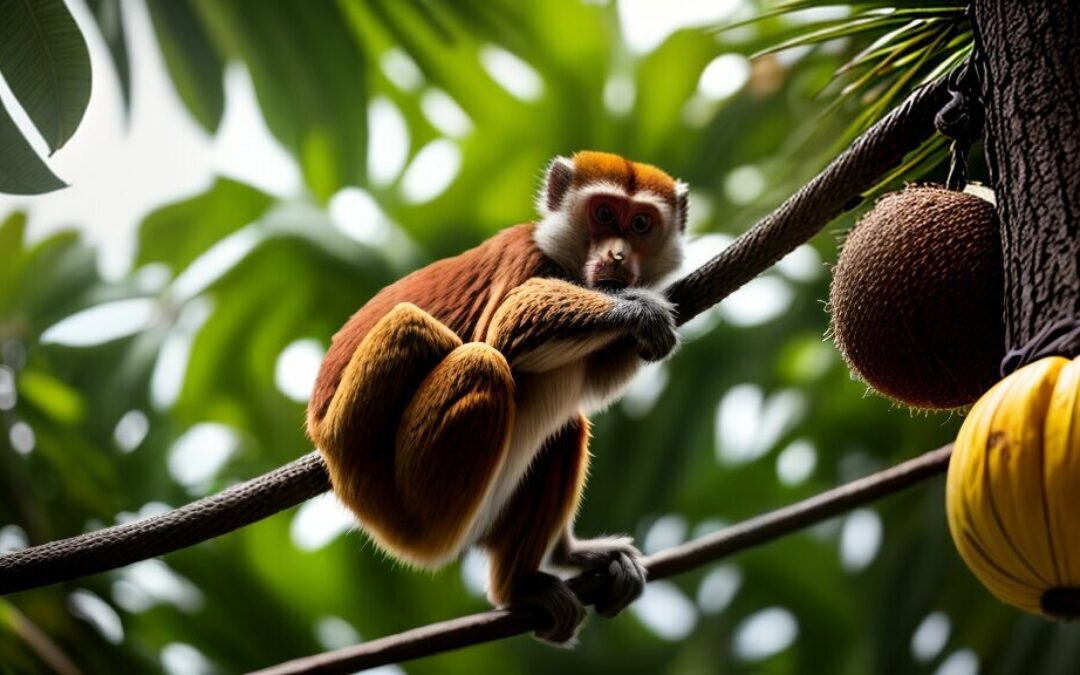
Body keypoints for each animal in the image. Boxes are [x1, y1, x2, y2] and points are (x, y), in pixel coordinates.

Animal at [306, 151, 688, 643]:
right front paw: (636, 307)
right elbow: (505, 330)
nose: (617, 254)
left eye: (641, 224)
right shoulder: (527, 258)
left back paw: (555, 560)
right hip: (375, 480)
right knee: (445, 343)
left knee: (566, 427)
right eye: (603, 214)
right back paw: (515, 586)